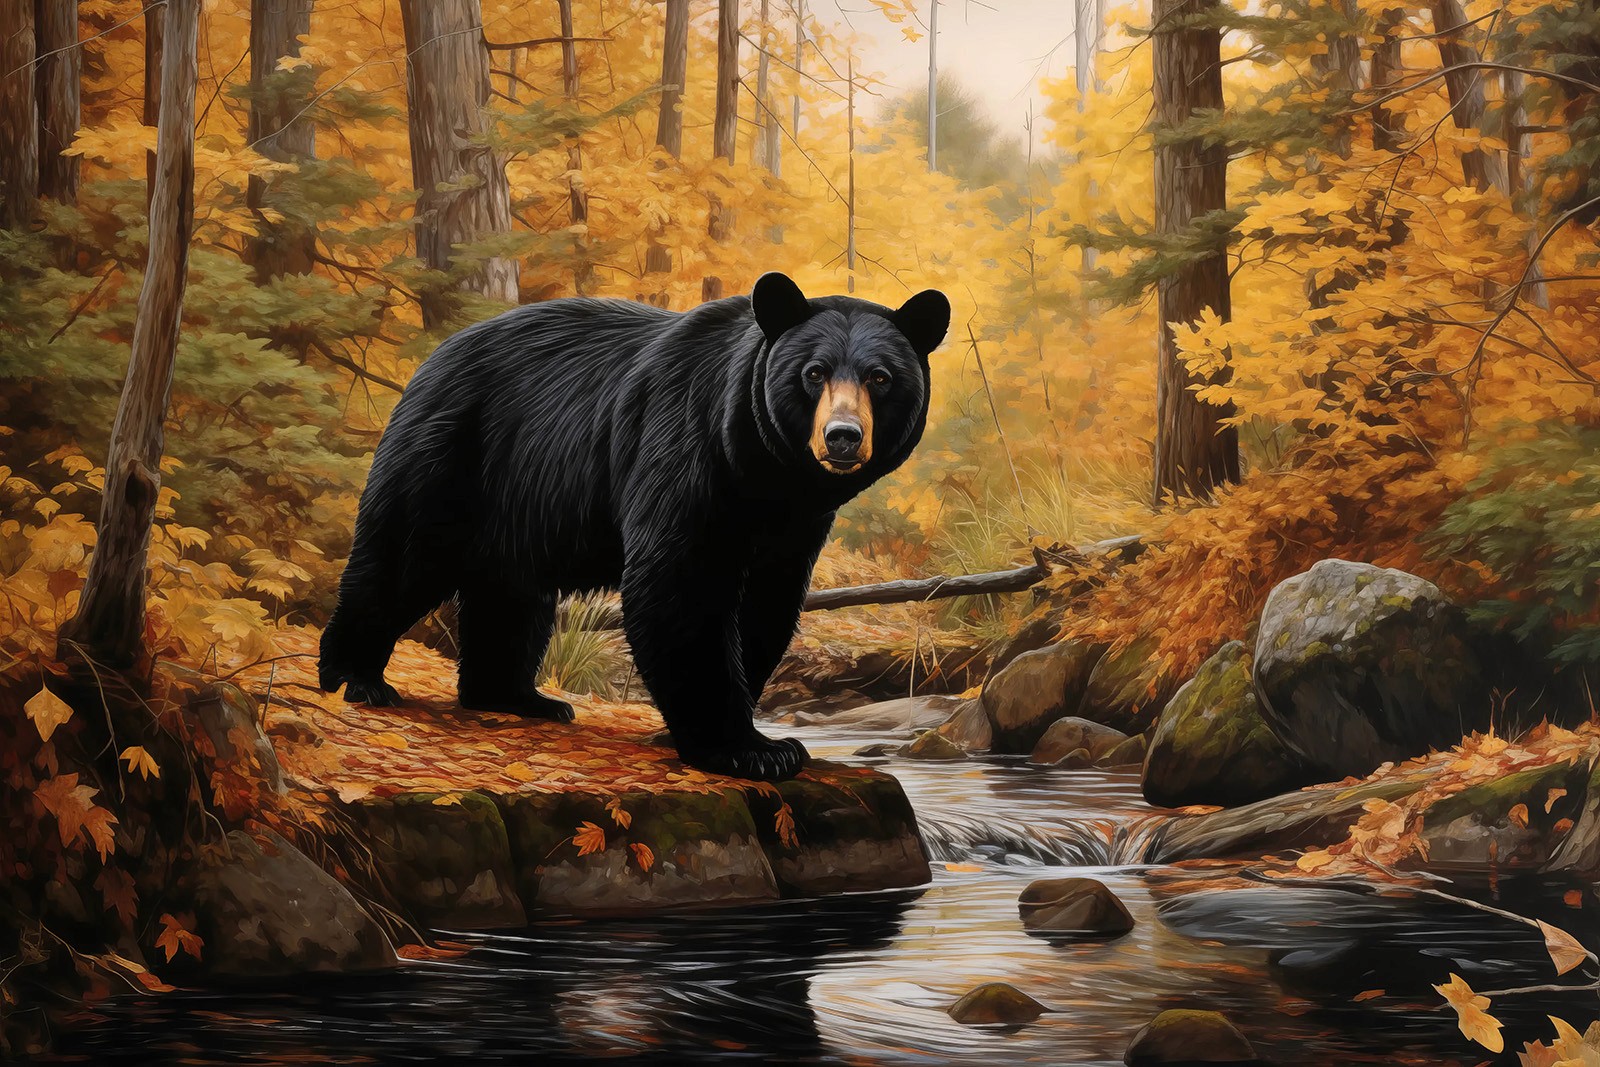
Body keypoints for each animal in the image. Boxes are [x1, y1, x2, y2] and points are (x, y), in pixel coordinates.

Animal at [318, 272, 950, 781]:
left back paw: (517, 698)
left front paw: (732, 731)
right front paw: (751, 749)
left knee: (511, 592)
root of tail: (433, 359)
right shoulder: (686, 450)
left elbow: (767, 606)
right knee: (400, 555)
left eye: (880, 377)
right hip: (450, 456)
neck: (765, 472)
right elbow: (679, 586)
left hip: (519, 501)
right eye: (814, 372)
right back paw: (356, 677)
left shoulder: (793, 524)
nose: (842, 437)